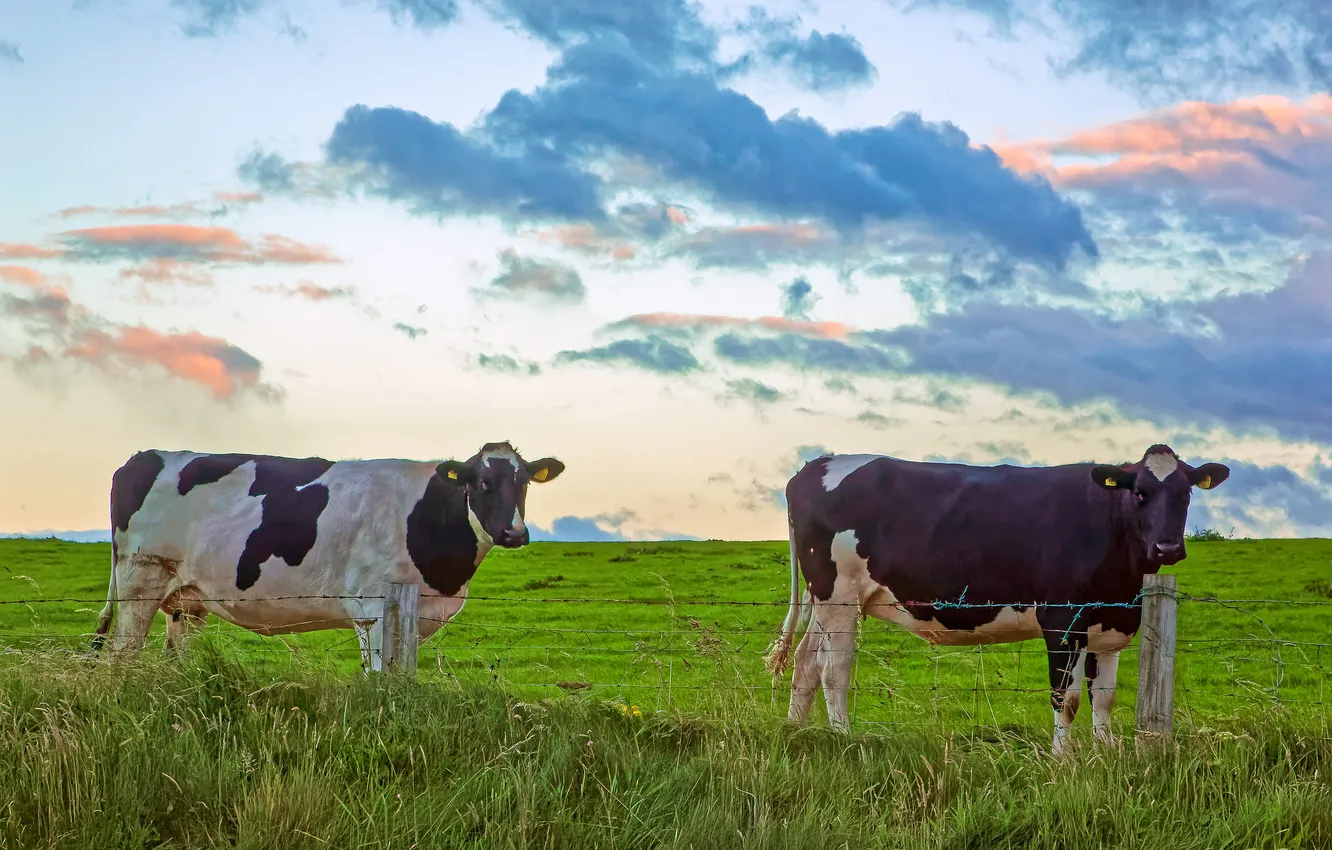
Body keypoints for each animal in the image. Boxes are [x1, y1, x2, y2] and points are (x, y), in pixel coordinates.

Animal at [91, 441, 564, 669]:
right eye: (482, 483)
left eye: (522, 483)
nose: (515, 532)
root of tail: (144, 456)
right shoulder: (372, 608)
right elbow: (377, 678)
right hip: (140, 579)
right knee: (121, 656)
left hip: (187, 600)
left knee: (174, 659)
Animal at [764, 444, 1229, 753]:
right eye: (1139, 493)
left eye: (1186, 493)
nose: (1168, 548)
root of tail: (820, 463)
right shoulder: (1062, 621)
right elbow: (1067, 698)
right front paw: (1063, 761)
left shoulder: (1111, 624)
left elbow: (1105, 696)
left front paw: (1106, 753)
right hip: (838, 595)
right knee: (834, 671)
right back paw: (842, 737)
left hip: (825, 600)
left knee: (806, 663)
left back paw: (797, 732)